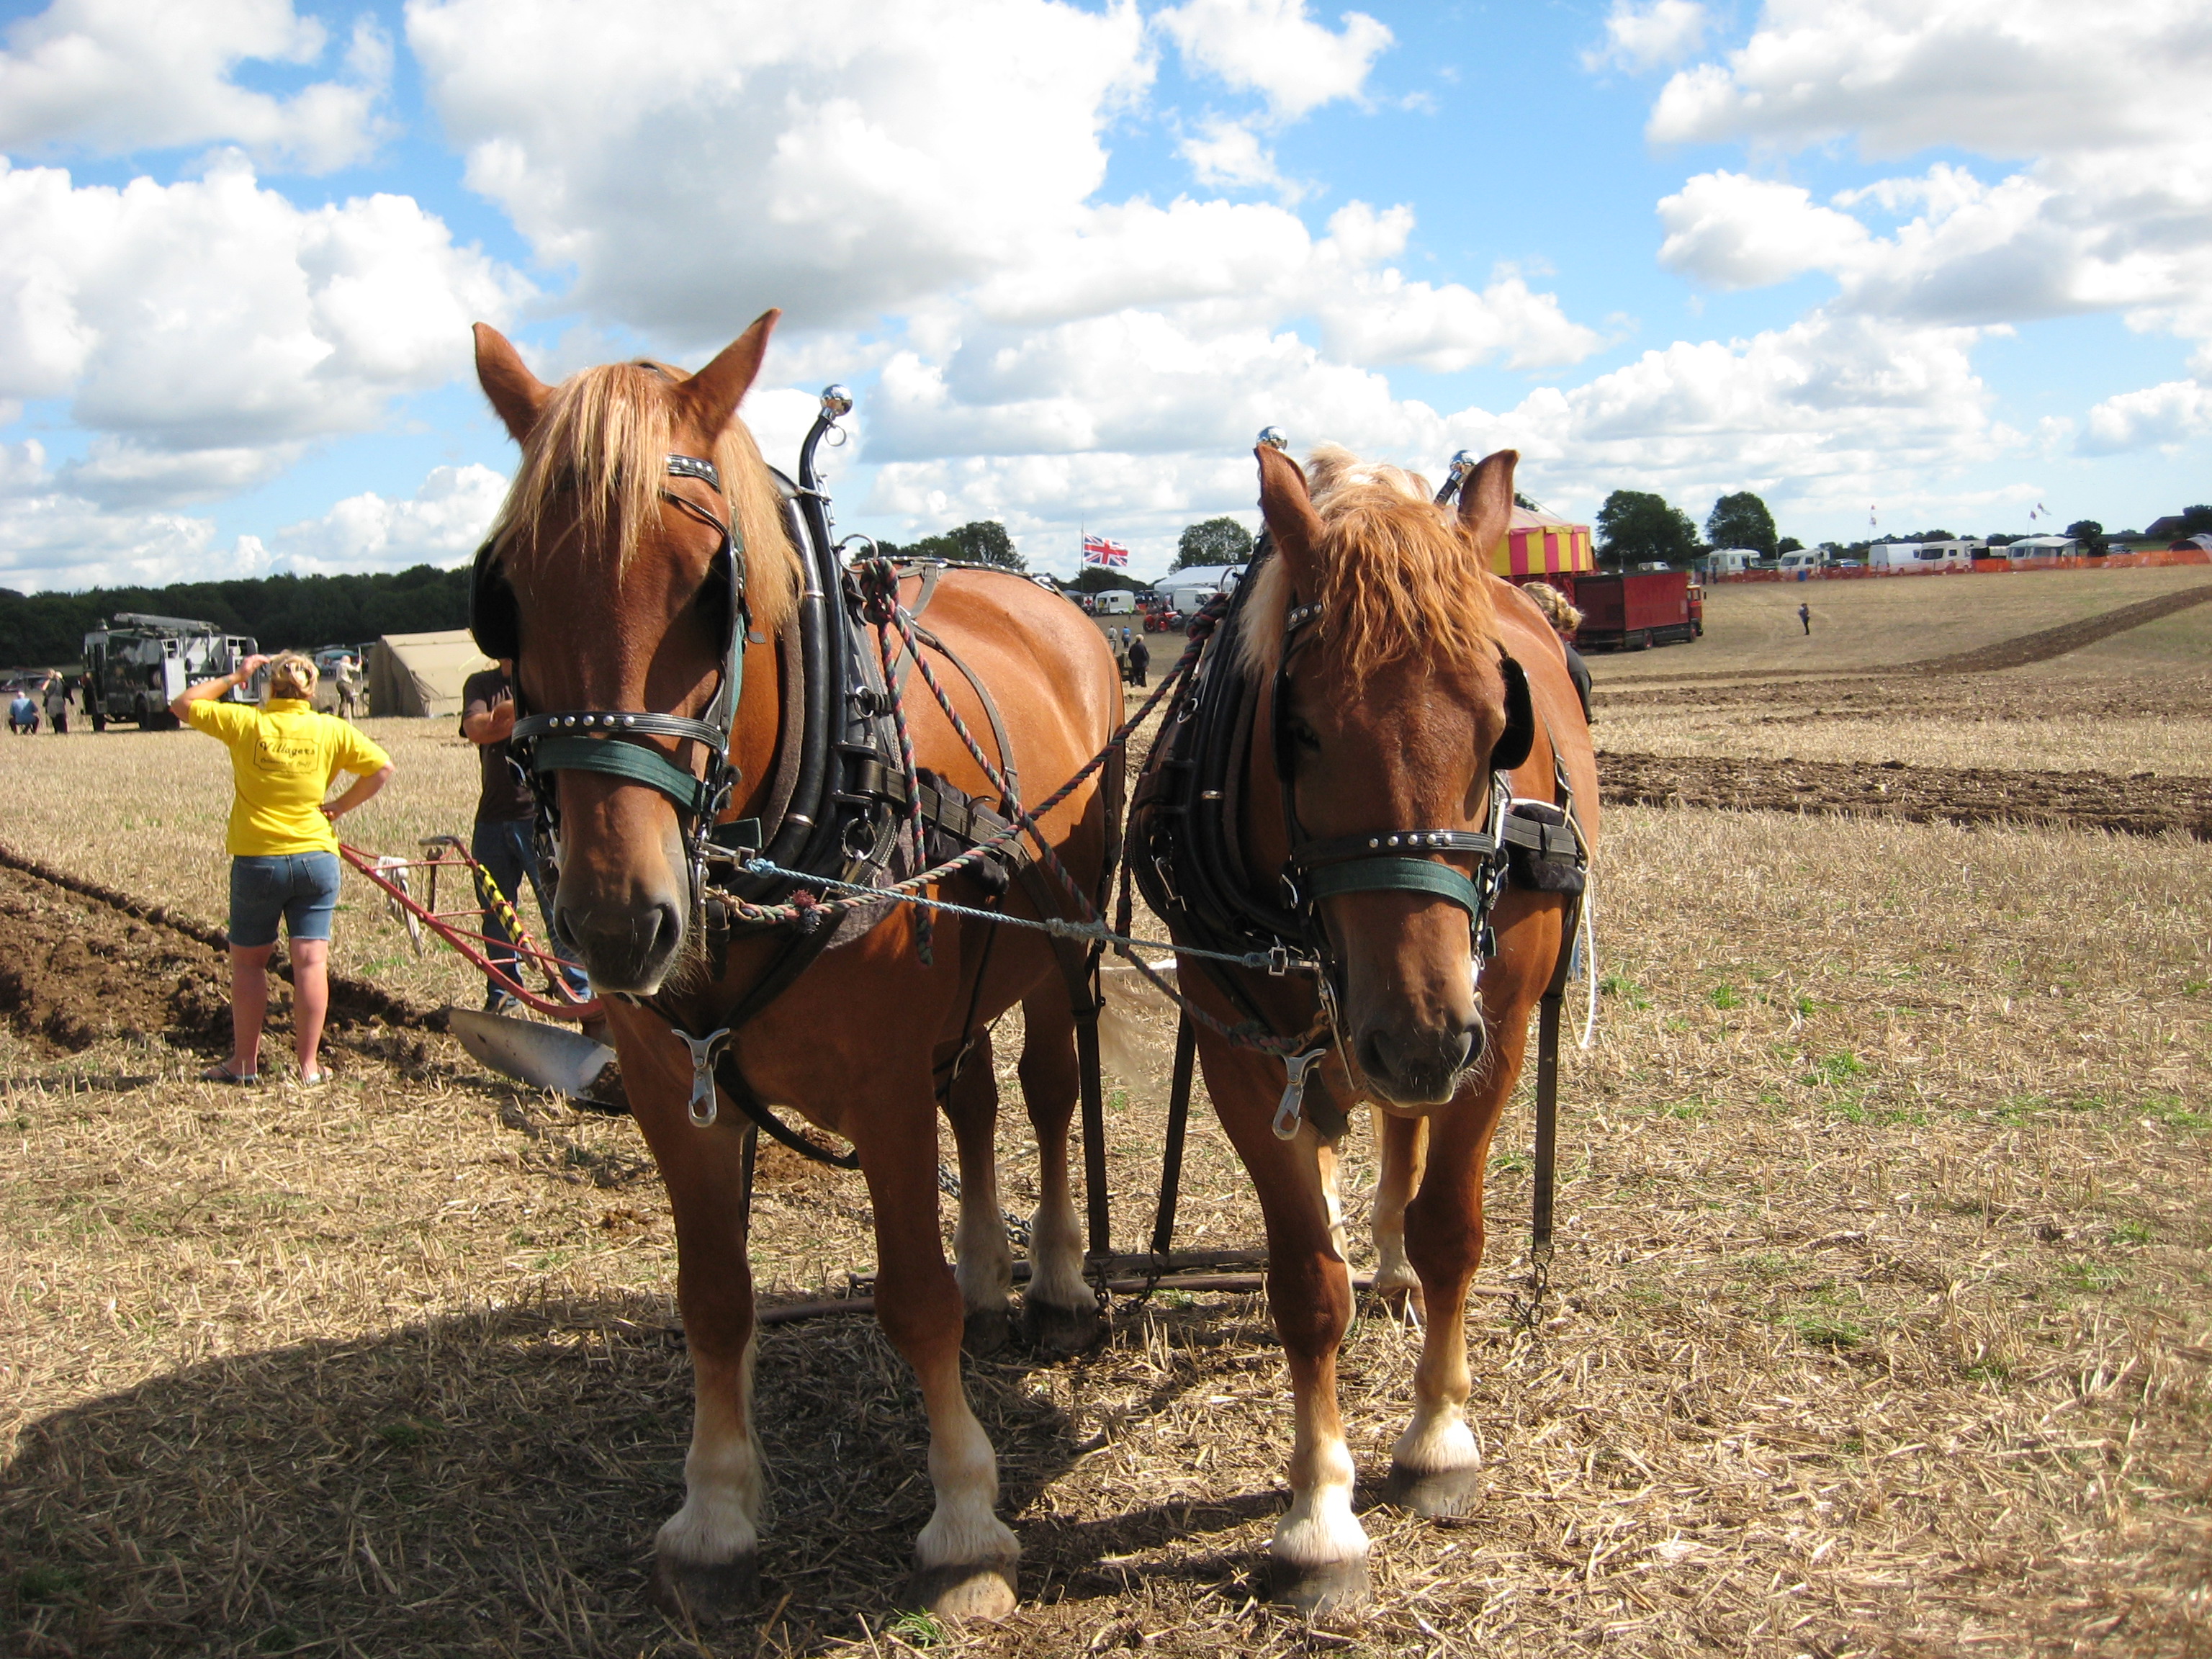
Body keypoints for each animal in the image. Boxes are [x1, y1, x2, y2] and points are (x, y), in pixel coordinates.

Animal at [467, 312, 1121, 1621]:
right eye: (502, 597)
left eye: (711, 589)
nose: (617, 924)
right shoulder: (671, 1086)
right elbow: (714, 1299)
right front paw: (716, 1508)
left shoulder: (880, 1086)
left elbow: (909, 1299)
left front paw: (964, 1514)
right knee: (975, 1100)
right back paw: (991, 1272)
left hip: (1062, 949)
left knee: (1045, 1092)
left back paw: (1057, 1284)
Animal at [1130, 440, 1599, 1615]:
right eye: (1298, 729)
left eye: (1501, 730)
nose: (1423, 1037)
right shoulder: (1241, 1049)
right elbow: (1305, 1283)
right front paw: (1319, 1518)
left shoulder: (1493, 1031)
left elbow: (1452, 1230)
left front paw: (1438, 1439)